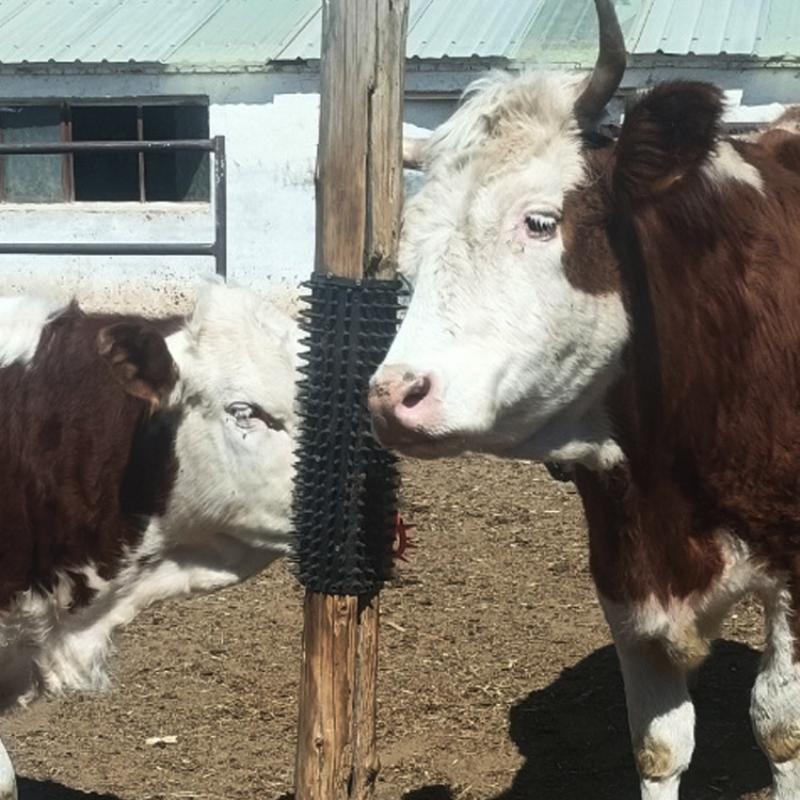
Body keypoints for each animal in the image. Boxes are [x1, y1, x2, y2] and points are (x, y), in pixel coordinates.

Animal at [368, 1, 800, 798]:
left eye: (540, 220)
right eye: (412, 243)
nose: (393, 395)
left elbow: (779, 730)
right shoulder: (623, 565)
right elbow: (659, 744)